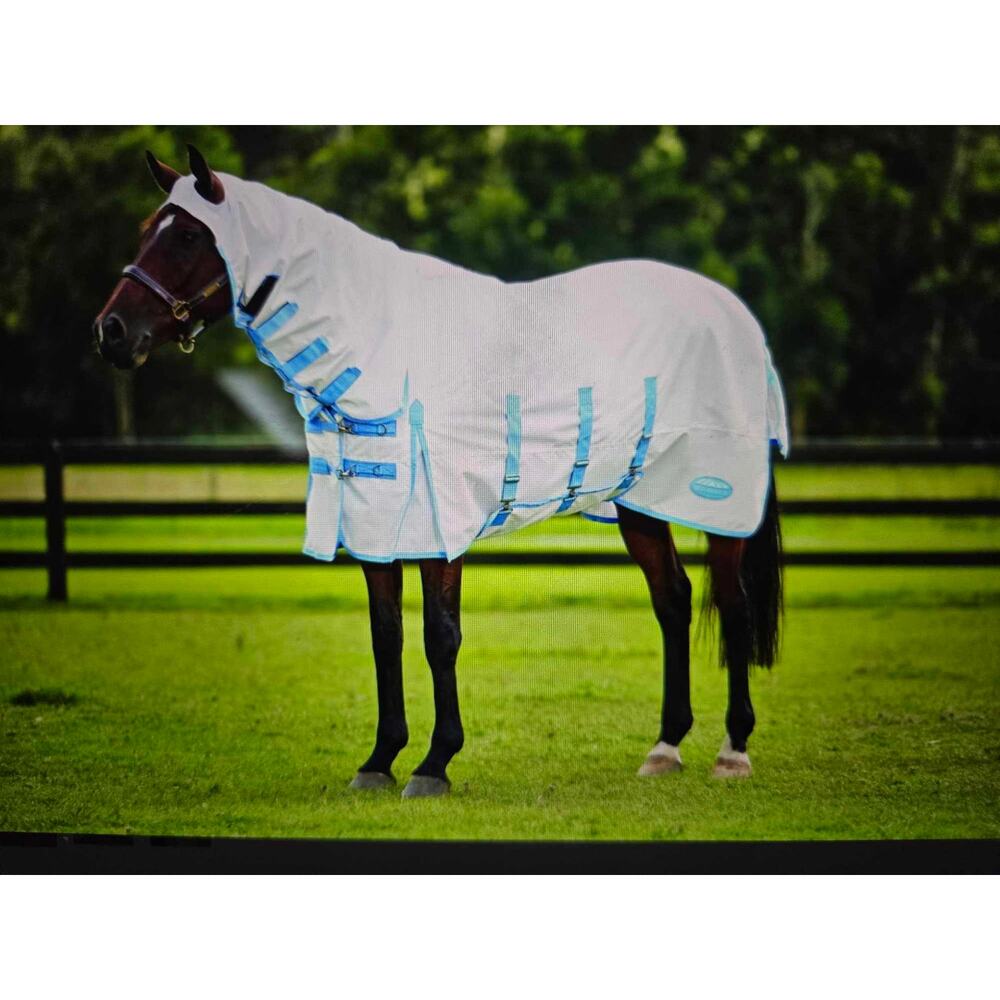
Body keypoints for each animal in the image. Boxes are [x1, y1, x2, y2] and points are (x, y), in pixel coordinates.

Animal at [94, 145, 786, 798]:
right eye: (146, 228)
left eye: (189, 236)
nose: (111, 332)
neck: (388, 348)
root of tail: (733, 316)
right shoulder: (375, 528)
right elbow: (386, 635)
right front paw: (378, 761)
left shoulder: (438, 527)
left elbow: (439, 635)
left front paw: (434, 764)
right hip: (641, 503)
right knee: (673, 601)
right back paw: (665, 747)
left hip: (716, 505)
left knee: (733, 604)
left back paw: (733, 751)